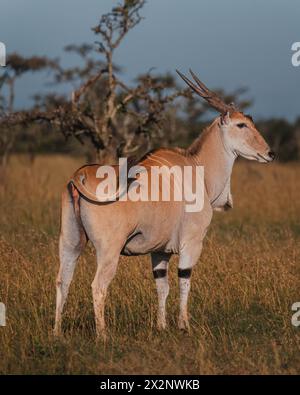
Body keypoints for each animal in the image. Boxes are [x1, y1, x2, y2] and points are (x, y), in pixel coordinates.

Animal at [54, 69, 274, 338]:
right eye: (241, 124)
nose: (269, 153)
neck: (196, 167)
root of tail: (80, 175)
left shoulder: (159, 251)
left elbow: (162, 286)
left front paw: (161, 325)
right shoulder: (191, 243)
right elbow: (184, 281)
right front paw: (184, 325)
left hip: (70, 244)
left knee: (63, 281)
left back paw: (56, 332)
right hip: (108, 250)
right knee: (98, 286)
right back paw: (103, 336)